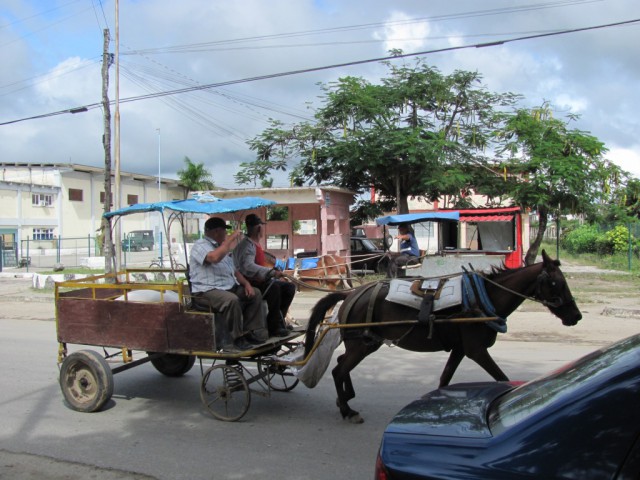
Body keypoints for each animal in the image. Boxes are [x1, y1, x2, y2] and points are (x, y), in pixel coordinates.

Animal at [304, 251, 584, 424]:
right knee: (339, 370)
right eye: (556, 283)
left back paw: (346, 398)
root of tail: (351, 294)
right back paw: (347, 410)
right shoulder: (476, 350)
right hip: (361, 345)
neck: (483, 297)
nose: (576, 315)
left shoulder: (460, 349)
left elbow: (445, 379)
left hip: (366, 343)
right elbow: (501, 378)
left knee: (341, 364)